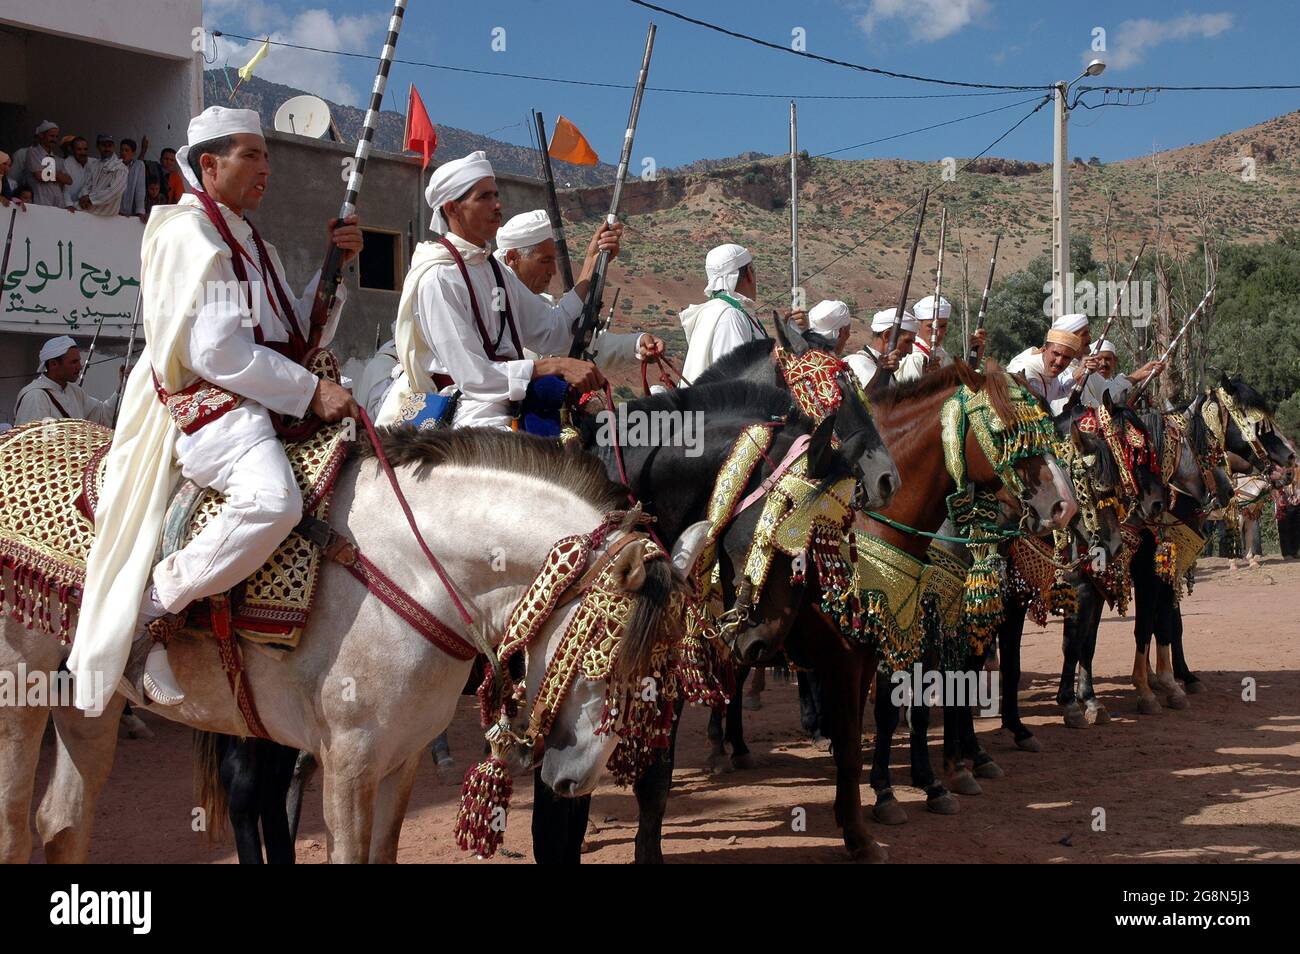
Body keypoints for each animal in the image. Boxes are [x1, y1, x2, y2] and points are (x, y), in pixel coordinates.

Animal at [0, 428, 686, 863]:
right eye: (602, 649)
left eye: (661, 675)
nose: (573, 779)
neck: (411, 570)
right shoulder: (349, 764)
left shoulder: (403, 758)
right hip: (20, 695)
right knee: (16, 829)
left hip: (90, 701)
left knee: (62, 824)